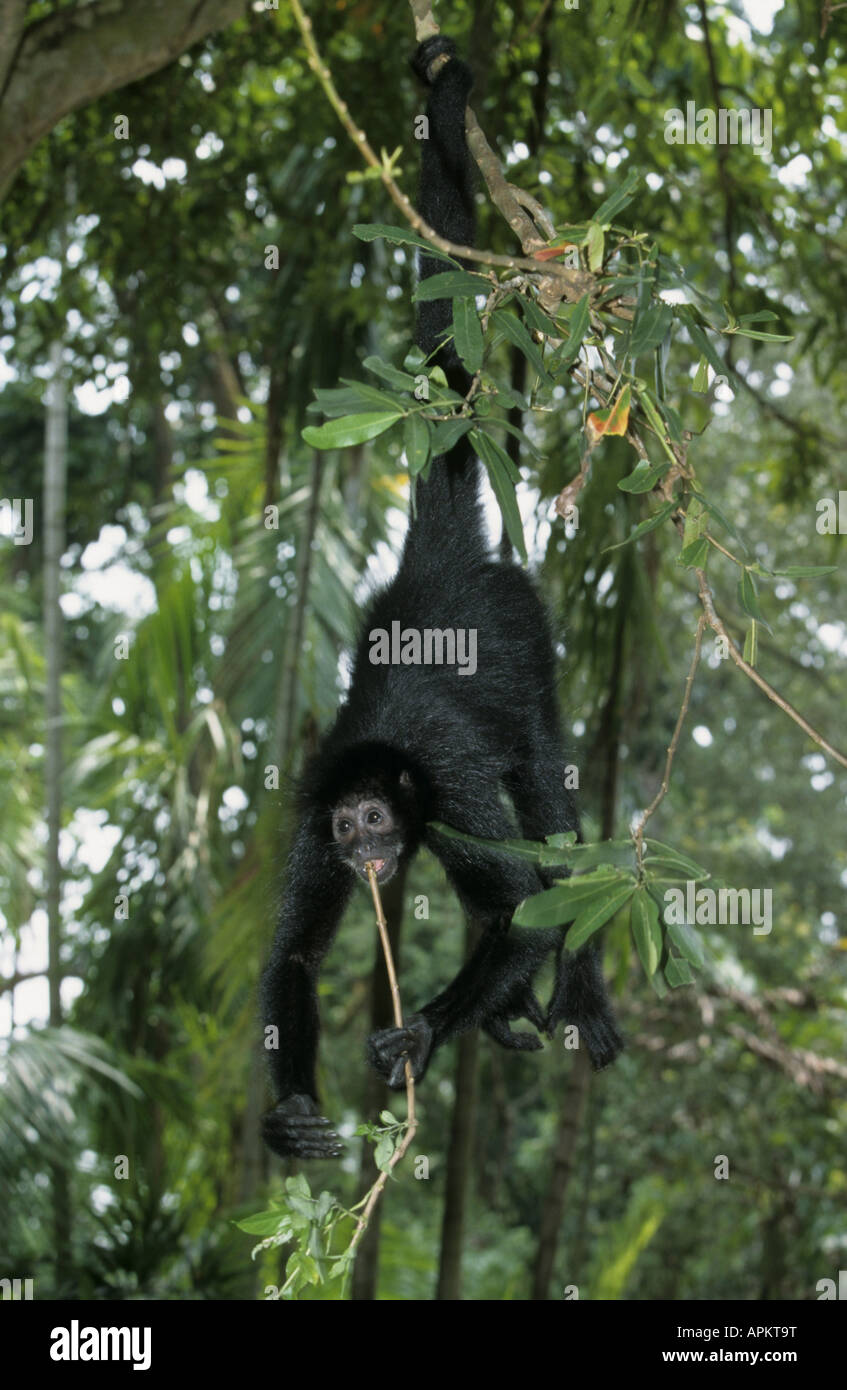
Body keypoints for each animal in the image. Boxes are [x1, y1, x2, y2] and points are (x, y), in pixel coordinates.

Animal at [259, 35, 623, 1160]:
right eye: (346, 830)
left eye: (379, 819)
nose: (369, 850)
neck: (383, 763)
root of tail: (440, 564)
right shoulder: (305, 821)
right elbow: (292, 962)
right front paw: (286, 1121)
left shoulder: (448, 796)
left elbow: (521, 907)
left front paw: (419, 1033)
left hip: (525, 633)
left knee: (546, 799)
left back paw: (572, 993)